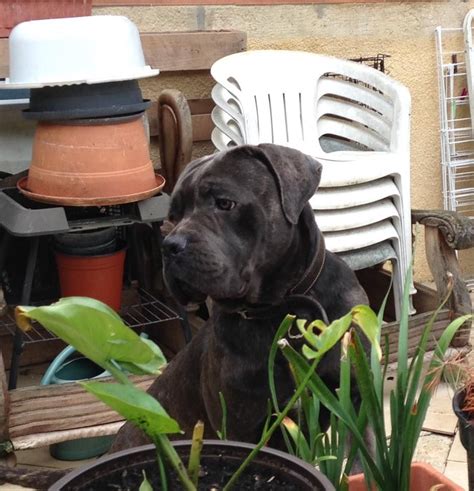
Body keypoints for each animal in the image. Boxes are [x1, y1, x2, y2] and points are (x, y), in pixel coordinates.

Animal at [110, 143, 366, 454]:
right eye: (174, 216)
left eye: (224, 203)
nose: (168, 247)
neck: (282, 309)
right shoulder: (241, 428)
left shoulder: (358, 399)